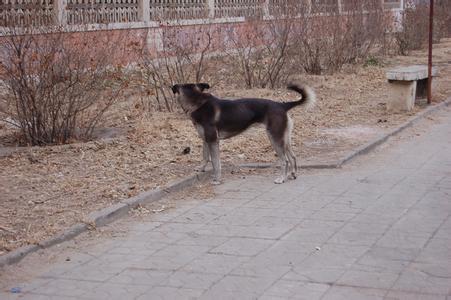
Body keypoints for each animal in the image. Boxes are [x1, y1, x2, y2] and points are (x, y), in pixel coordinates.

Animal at [171, 83, 316, 184]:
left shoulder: (213, 140)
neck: (198, 102)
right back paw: (293, 174)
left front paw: (217, 179)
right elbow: (205, 157)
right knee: (293, 157)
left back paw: (281, 178)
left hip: (275, 138)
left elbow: (216, 163)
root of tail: (282, 105)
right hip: (284, 138)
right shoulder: (205, 139)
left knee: (284, 160)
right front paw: (201, 169)